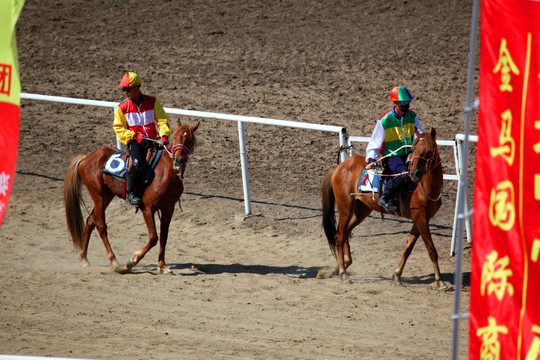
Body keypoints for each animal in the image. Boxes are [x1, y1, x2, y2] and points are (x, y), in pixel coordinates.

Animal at [63, 120, 198, 272]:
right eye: (175, 137)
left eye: (190, 140)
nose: (178, 159)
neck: (165, 173)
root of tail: (86, 157)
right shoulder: (147, 208)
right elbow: (153, 237)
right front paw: (132, 261)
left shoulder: (168, 209)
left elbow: (164, 236)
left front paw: (162, 265)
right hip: (98, 196)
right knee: (101, 226)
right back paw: (114, 261)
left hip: (107, 196)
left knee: (90, 222)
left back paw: (84, 258)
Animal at [318, 127, 450, 290]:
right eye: (414, 149)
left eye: (429, 151)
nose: (414, 173)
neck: (423, 186)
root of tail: (339, 167)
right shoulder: (420, 218)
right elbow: (431, 250)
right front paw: (440, 282)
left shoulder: (421, 219)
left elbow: (408, 248)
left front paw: (397, 276)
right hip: (345, 208)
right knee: (339, 236)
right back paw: (343, 273)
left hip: (361, 211)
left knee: (345, 233)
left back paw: (343, 264)